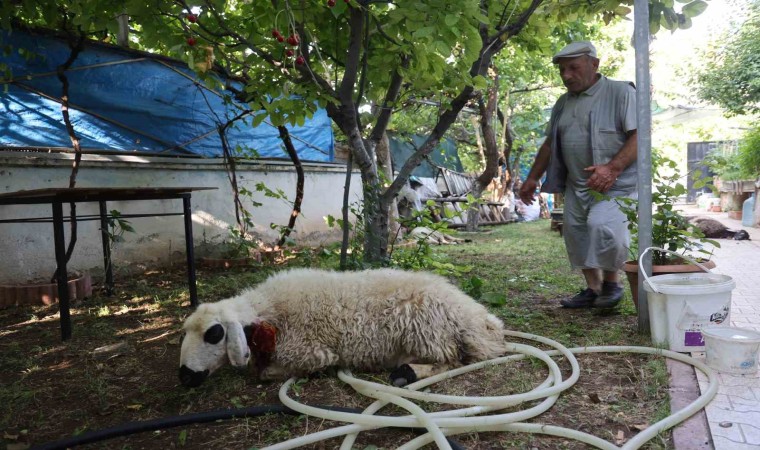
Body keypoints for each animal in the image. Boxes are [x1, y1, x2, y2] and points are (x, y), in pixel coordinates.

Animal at [180, 268, 504, 386]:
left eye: (214, 334)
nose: (185, 376)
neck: (270, 310)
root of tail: (479, 319)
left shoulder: (311, 353)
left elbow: (266, 373)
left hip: (425, 330)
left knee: (452, 360)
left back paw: (407, 373)